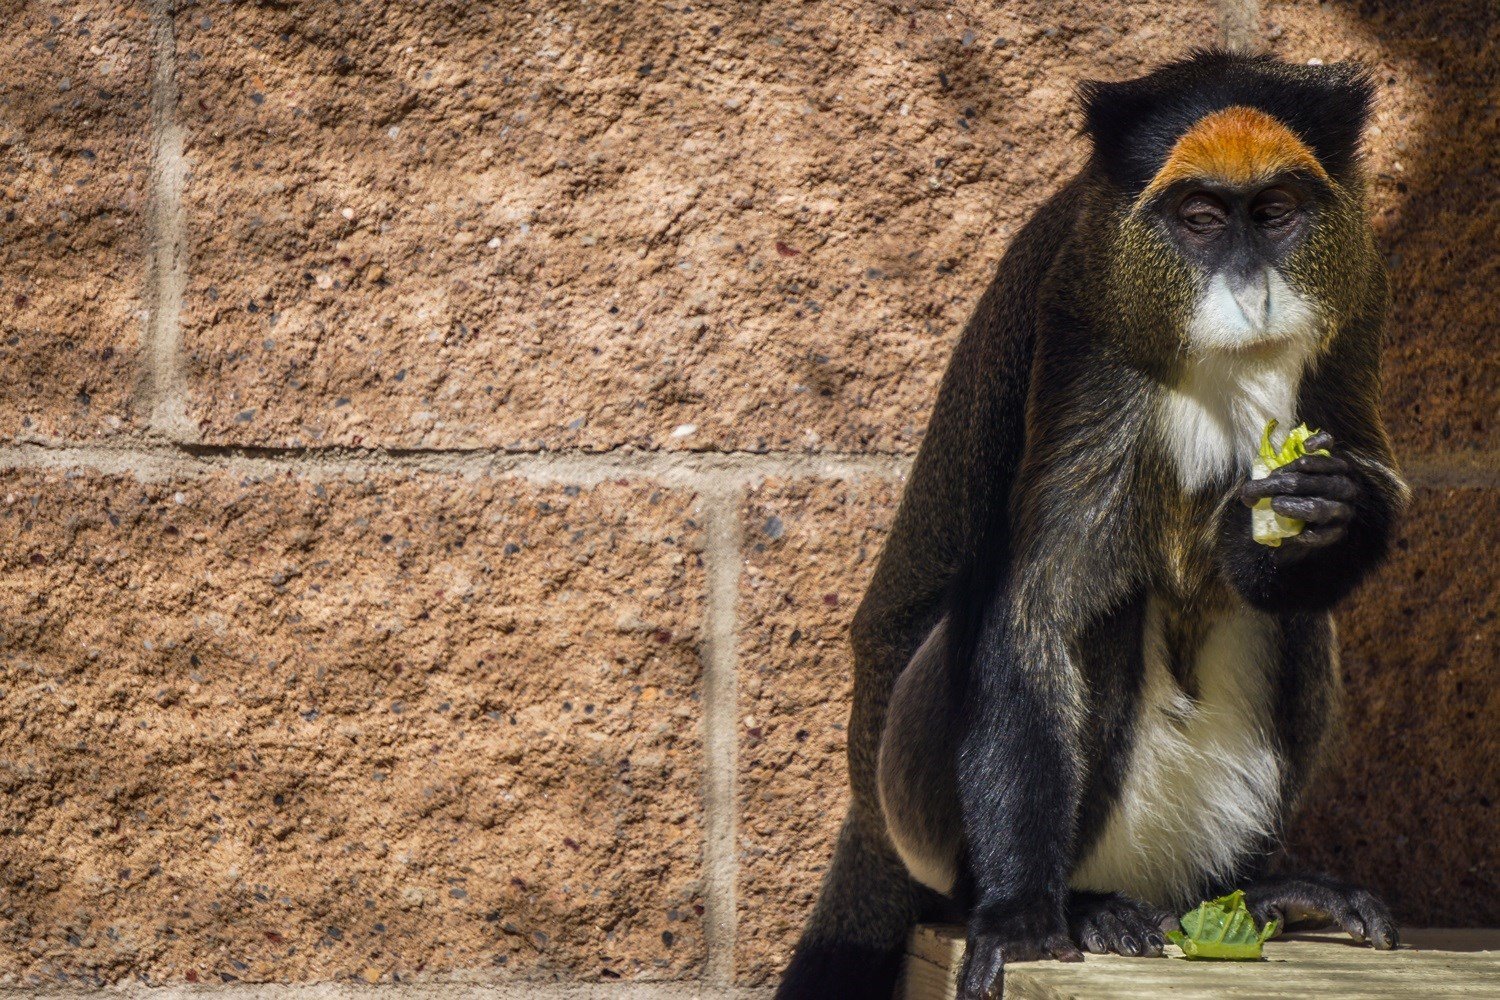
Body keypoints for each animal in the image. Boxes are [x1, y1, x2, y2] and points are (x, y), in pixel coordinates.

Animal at [780, 48, 1410, 1000]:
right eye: (1199, 219)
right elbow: (1044, 601)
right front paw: (1021, 920)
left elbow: (1346, 494)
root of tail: (867, 821)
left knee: (1304, 624)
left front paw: (1327, 514)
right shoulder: (1082, 321)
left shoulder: (1359, 296)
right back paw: (1084, 904)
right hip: (918, 812)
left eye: (1274, 212)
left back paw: (1249, 891)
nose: (1253, 293)